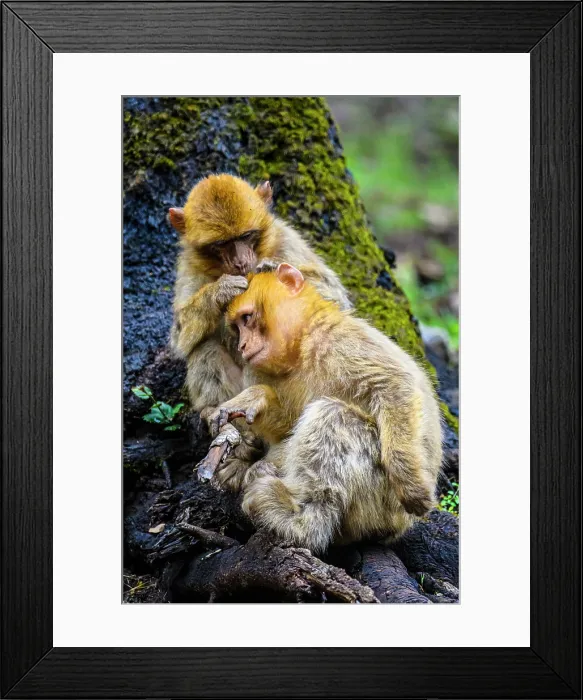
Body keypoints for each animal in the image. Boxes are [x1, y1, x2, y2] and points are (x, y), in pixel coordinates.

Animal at [168, 174, 351, 489]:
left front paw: (271, 268)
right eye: (222, 244)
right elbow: (179, 337)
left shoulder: (287, 240)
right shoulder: (189, 267)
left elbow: (337, 302)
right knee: (205, 347)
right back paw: (233, 435)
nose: (242, 262)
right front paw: (220, 292)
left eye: (246, 236)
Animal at [208, 263, 442, 554]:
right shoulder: (259, 369)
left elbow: (393, 385)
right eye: (236, 327)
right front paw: (256, 397)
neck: (302, 346)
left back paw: (300, 521)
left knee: (333, 415)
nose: (242, 345)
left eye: (247, 318)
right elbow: (287, 426)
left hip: (382, 506)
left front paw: (409, 481)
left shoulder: (338, 341)